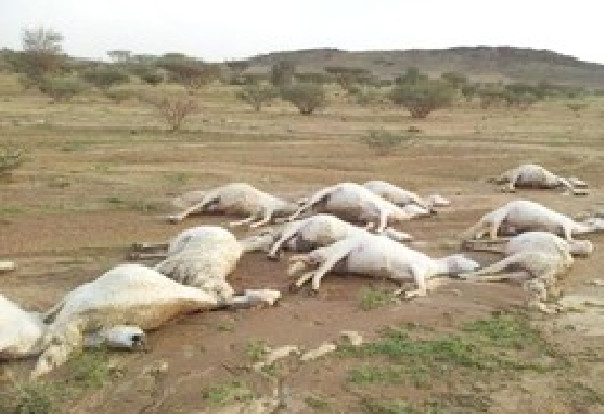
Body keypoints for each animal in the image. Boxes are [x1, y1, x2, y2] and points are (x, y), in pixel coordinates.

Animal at [286, 233, 478, 298]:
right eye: (468, 259)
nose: (478, 267)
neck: (435, 265)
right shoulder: (417, 268)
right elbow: (423, 289)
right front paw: (410, 294)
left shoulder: (406, 277)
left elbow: (405, 285)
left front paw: (400, 292)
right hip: (339, 253)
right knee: (316, 267)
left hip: (339, 266)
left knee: (314, 269)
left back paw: (297, 285)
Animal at [288, 184, 434, 233]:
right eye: (417, 203)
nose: (432, 211)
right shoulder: (378, 208)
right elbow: (382, 219)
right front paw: (380, 230)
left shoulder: (367, 217)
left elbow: (369, 225)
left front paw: (365, 228)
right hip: (319, 196)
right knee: (303, 207)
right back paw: (290, 218)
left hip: (320, 205)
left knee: (310, 210)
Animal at [462, 200, 604, 241]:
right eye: (601, 221)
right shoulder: (565, 223)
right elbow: (567, 231)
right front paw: (571, 239)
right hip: (501, 214)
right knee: (493, 227)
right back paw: (496, 237)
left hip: (503, 221)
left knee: (486, 229)